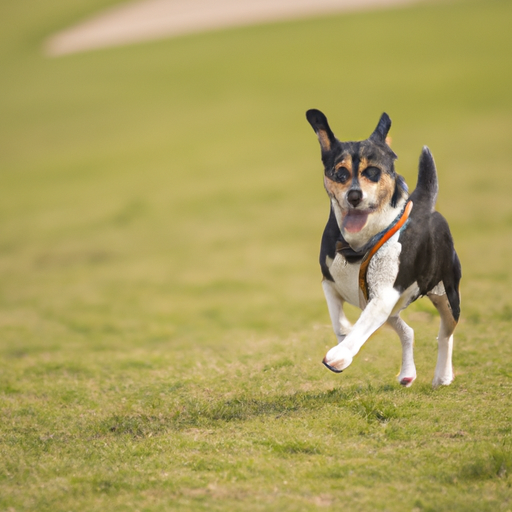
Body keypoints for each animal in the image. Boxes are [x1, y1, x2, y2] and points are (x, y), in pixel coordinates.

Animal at [306, 109, 462, 388]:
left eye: (372, 171)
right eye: (341, 173)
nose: (354, 196)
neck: (358, 246)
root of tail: (424, 204)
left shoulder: (384, 294)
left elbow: (361, 326)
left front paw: (340, 355)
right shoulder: (329, 282)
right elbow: (338, 322)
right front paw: (344, 336)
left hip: (447, 293)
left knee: (446, 333)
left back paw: (442, 376)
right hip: (392, 310)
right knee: (408, 331)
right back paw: (407, 373)